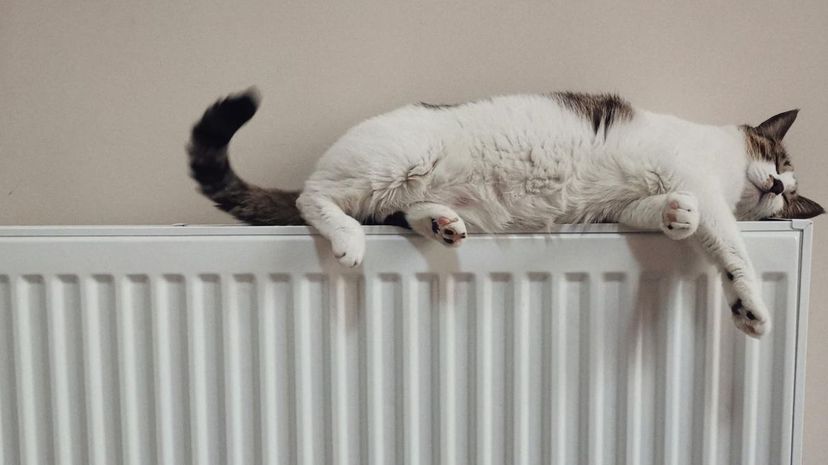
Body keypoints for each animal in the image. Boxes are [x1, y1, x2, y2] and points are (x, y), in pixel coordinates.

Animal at [188, 89, 820, 338]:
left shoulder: (630, 204)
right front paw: (750, 307)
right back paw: (347, 237)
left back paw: (441, 223)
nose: (777, 184)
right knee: (312, 198)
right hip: (393, 161)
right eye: (777, 160)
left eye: (790, 198)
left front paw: (675, 218)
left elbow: (665, 210)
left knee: (402, 211)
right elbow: (732, 248)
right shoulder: (707, 190)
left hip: (400, 190)